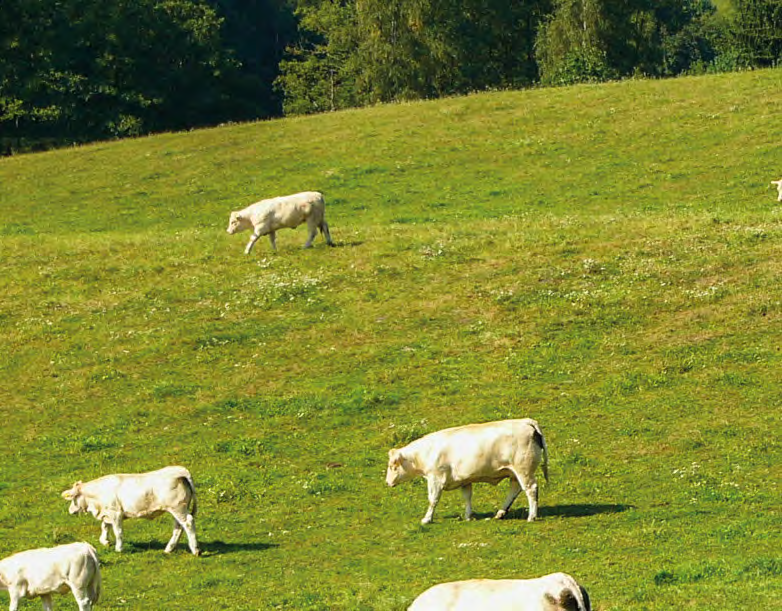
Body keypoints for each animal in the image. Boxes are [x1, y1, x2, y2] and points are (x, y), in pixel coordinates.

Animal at [62, 466, 201, 556]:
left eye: (73, 498)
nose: (70, 510)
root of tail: (180, 470)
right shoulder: (108, 513)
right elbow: (105, 526)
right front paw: (105, 541)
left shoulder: (116, 513)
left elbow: (118, 532)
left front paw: (119, 548)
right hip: (177, 509)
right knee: (178, 527)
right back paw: (169, 549)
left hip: (178, 508)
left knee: (188, 523)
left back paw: (195, 550)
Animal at [388, 420, 548, 524]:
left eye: (392, 466)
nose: (387, 482)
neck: (426, 451)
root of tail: (526, 422)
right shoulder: (464, 480)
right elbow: (467, 497)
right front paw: (468, 516)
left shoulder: (436, 478)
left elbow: (433, 499)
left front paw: (427, 519)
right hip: (514, 472)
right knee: (515, 489)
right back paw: (500, 513)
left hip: (523, 469)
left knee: (531, 489)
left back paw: (531, 517)